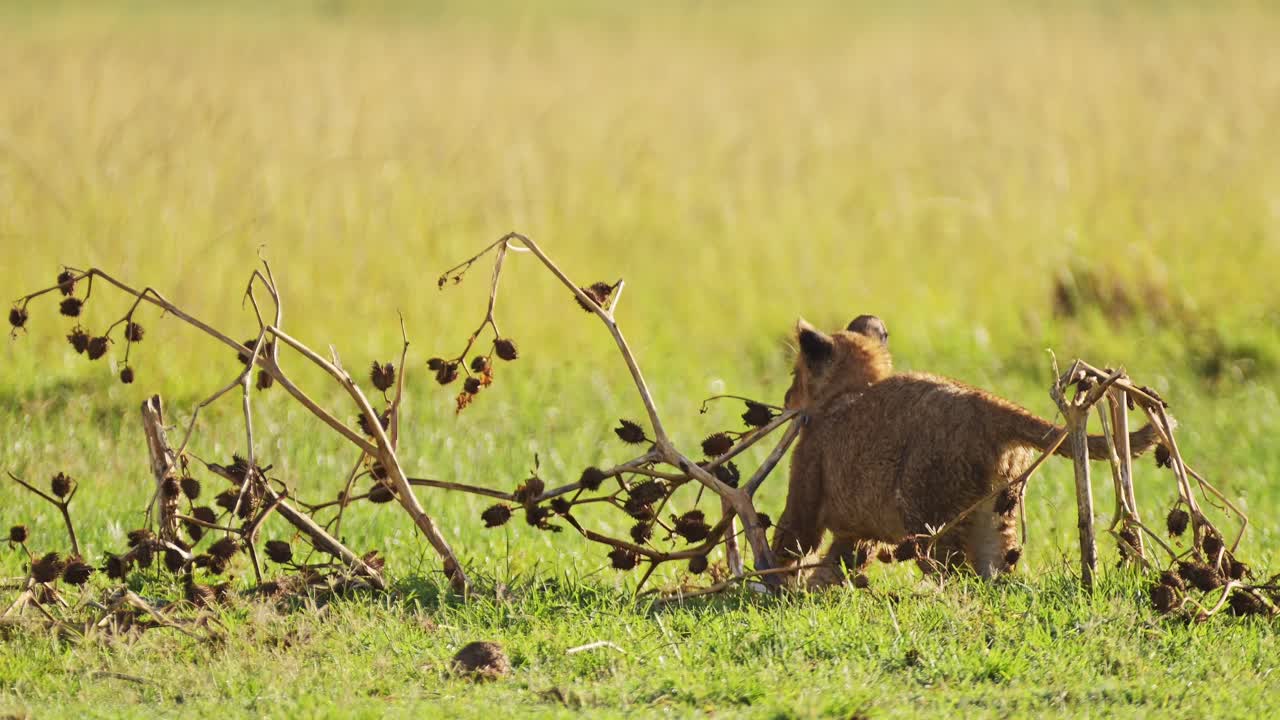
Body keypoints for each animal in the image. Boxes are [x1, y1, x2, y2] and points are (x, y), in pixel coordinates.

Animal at [773, 316, 1164, 582]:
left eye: (794, 374)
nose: (786, 397)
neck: (849, 391)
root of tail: (989, 405)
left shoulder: (807, 489)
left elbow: (789, 542)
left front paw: (773, 590)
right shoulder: (856, 531)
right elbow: (837, 563)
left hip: (930, 521)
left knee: (958, 575)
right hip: (995, 514)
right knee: (994, 573)